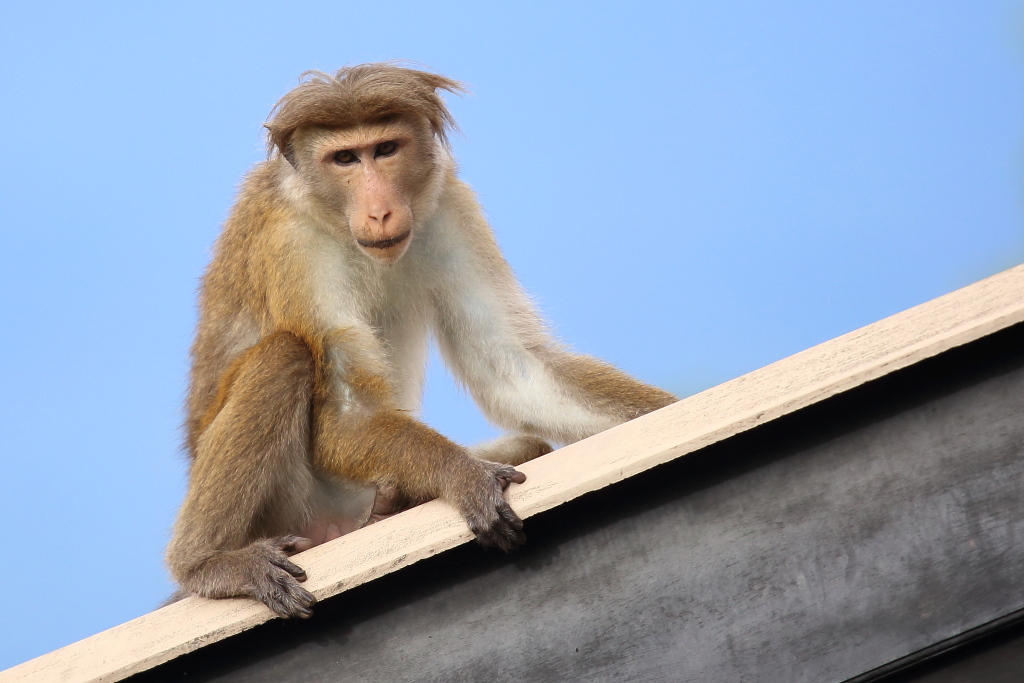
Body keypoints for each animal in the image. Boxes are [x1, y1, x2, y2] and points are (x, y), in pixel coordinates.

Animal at [165, 63, 677, 619]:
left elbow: (514, 368)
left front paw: (668, 412)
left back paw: (388, 512)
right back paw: (207, 564)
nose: (380, 212)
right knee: (283, 356)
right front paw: (462, 475)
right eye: (345, 158)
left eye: (385, 149)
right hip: (292, 509)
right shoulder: (292, 243)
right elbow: (350, 415)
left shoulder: (449, 205)